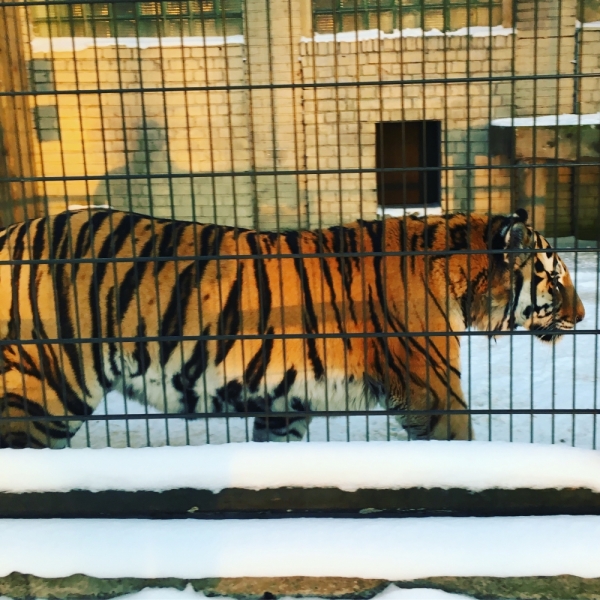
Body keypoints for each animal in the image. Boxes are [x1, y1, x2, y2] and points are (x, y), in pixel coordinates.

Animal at [0, 206, 584, 446]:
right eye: (555, 279)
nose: (582, 317)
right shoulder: (433, 392)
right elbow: (459, 441)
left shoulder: (283, 402)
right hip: (42, 392)